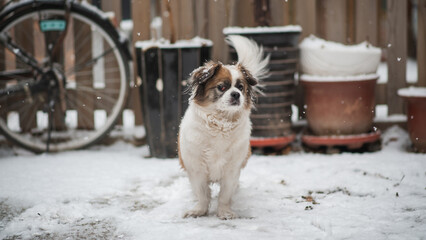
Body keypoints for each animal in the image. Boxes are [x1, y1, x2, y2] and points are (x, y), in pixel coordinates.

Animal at [178, 35, 268, 219]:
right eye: (222, 87)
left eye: (241, 87)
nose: (236, 94)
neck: (220, 123)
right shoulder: (196, 169)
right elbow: (203, 193)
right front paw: (199, 210)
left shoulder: (231, 170)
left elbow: (225, 194)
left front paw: (224, 212)